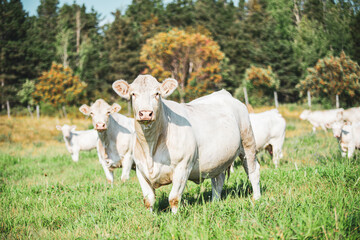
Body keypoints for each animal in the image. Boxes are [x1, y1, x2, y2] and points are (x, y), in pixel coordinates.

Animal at [111, 74, 260, 214]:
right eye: (133, 94)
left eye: (157, 93)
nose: (146, 113)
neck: (151, 148)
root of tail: (224, 93)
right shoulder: (141, 170)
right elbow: (148, 200)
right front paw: (150, 217)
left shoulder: (183, 167)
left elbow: (174, 198)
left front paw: (174, 217)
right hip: (218, 158)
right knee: (218, 179)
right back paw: (215, 202)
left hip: (248, 142)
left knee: (253, 171)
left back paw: (256, 199)